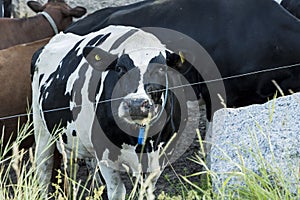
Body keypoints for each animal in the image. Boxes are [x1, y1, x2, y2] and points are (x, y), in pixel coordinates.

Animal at [32, 25, 188, 199]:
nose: (136, 104)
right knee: (44, 169)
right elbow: (117, 191)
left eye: (161, 69)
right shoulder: (105, 153)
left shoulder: (160, 155)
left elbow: (146, 190)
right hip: (41, 130)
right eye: (119, 68)